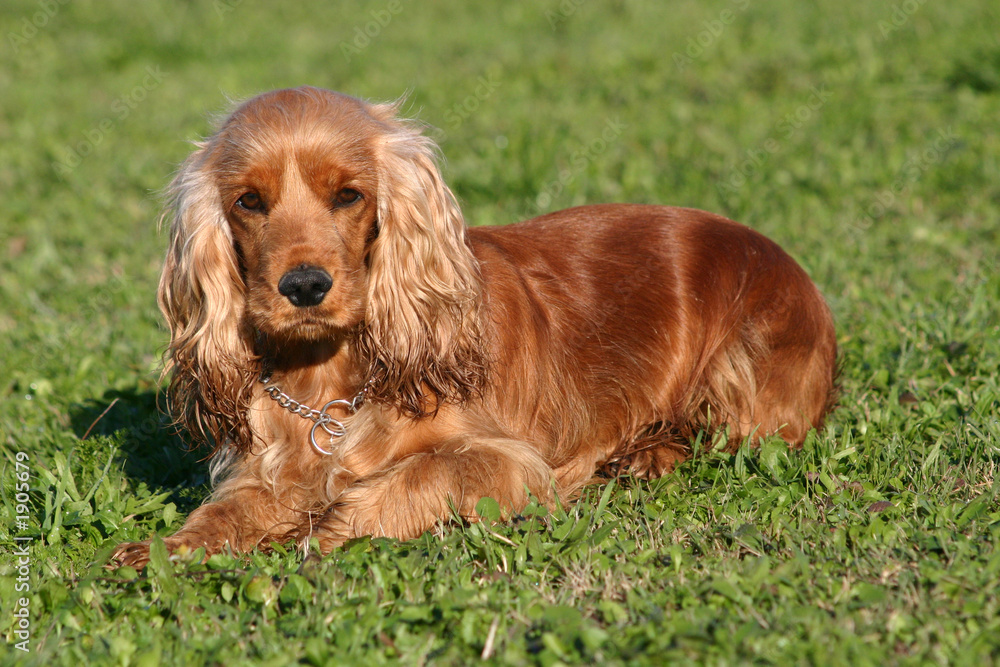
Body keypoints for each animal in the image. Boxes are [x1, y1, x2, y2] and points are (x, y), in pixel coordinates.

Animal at [113, 86, 840, 568]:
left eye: (348, 194)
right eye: (248, 201)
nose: (304, 285)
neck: (331, 379)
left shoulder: (509, 463)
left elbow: (405, 481)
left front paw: (309, 532)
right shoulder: (261, 467)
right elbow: (227, 509)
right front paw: (167, 548)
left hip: (742, 368)